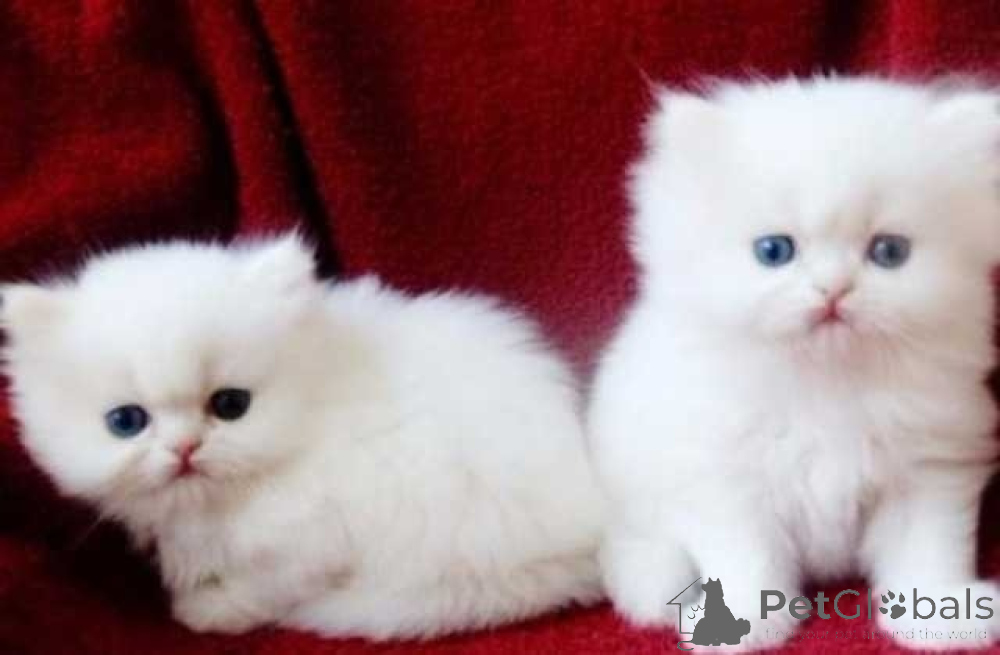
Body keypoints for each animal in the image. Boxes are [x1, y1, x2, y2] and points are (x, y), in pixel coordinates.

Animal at [0, 234, 605, 639]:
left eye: (230, 405)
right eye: (126, 422)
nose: (185, 450)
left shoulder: (308, 543)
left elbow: (266, 588)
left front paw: (208, 609)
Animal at [589, 77, 1000, 650]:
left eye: (889, 252)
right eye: (774, 251)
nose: (834, 291)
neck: (827, 383)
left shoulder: (928, 474)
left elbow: (927, 554)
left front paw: (941, 620)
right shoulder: (727, 481)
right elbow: (748, 562)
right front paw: (746, 625)